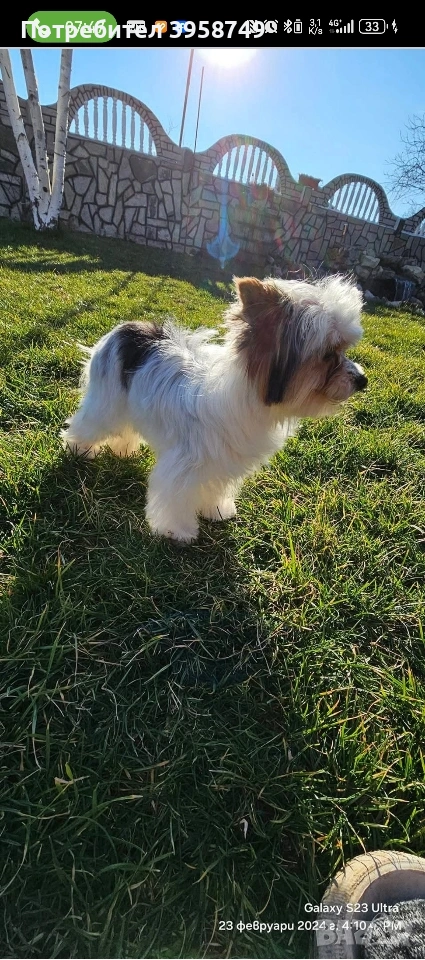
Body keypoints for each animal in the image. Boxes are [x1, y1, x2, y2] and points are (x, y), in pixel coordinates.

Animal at [61, 275, 367, 542]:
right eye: (327, 354)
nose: (362, 380)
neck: (247, 396)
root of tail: (124, 328)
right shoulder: (184, 464)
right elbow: (176, 497)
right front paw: (178, 531)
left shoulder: (222, 461)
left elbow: (215, 488)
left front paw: (217, 510)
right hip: (106, 403)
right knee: (88, 423)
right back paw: (80, 449)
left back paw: (124, 450)